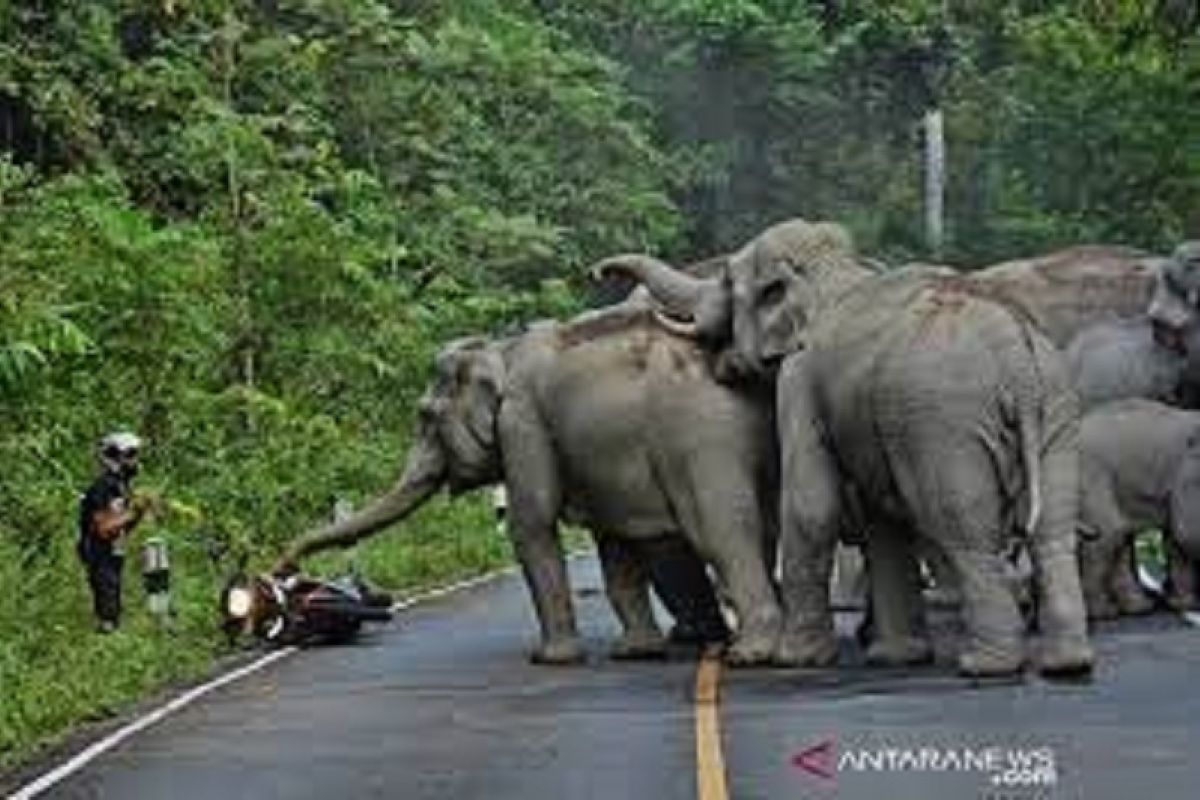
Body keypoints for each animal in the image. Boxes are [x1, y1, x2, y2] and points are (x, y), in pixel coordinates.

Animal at [277, 297, 782, 666]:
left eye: (425, 417)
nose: (285, 567)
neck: (502, 349)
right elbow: (614, 542)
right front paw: (634, 652)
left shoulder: (522, 424)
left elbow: (531, 523)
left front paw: (549, 659)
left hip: (701, 437)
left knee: (720, 531)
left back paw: (750, 653)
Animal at [595, 217, 1094, 676]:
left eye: (728, 284)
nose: (598, 271)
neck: (832, 271)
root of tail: (1014, 353)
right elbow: (881, 519)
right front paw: (895, 657)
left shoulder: (800, 379)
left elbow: (810, 505)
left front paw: (796, 659)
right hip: (1055, 410)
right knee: (1052, 531)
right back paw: (1067, 663)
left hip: (947, 425)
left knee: (963, 529)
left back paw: (985, 664)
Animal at [1080, 400, 1200, 618]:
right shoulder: (1190, 473)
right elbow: (1187, 532)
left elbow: (1176, 537)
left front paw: (1182, 604)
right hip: (1092, 477)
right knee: (1107, 535)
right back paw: (1104, 613)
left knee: (1119, 536)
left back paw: (1139, 607)